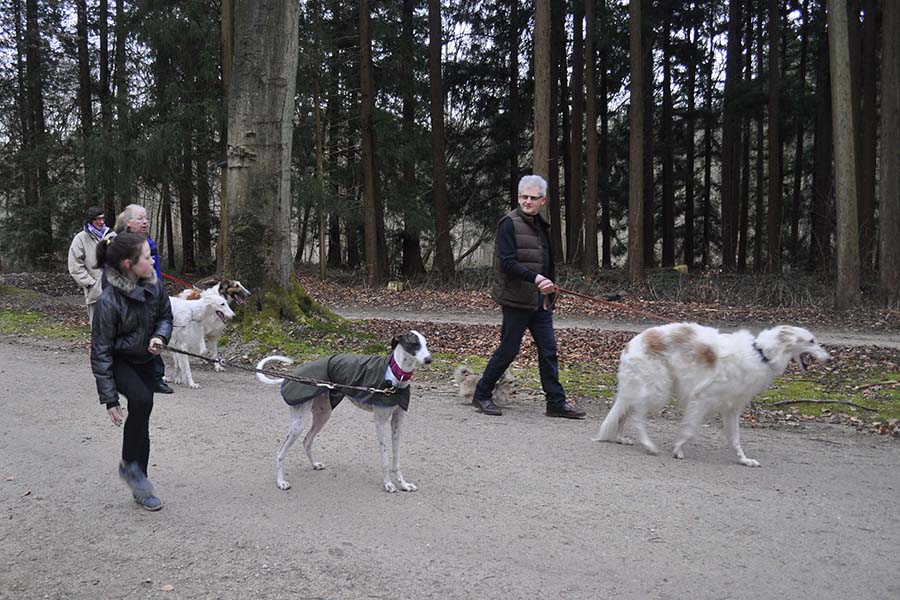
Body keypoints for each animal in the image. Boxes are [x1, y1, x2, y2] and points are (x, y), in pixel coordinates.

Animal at [256, 330, 431, 493]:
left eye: (426, 343)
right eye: (414, 343)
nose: (429, 360)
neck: (396, 376)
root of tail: (293, 376)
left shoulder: (397, 421)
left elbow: (396, 458)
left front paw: (404, 484)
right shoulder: (380, 422)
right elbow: (385, 458)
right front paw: (388, 484)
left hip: (322, 414)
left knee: (306, 440)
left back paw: (314, 464)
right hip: (298, 422)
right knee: (280, 452)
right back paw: (281, 482)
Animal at [591, 323, 830, 467]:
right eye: (811, 340)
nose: (829, 358)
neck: (761, 354)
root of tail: (631, 344)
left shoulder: (732, 408)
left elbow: (735, 439)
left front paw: (745, 460)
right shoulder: (702, 397)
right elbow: (689, 430)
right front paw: (678, 449)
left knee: (627, 413)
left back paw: (621, 438)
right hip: (658, 390)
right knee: (638, 416)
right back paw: (648, 445)